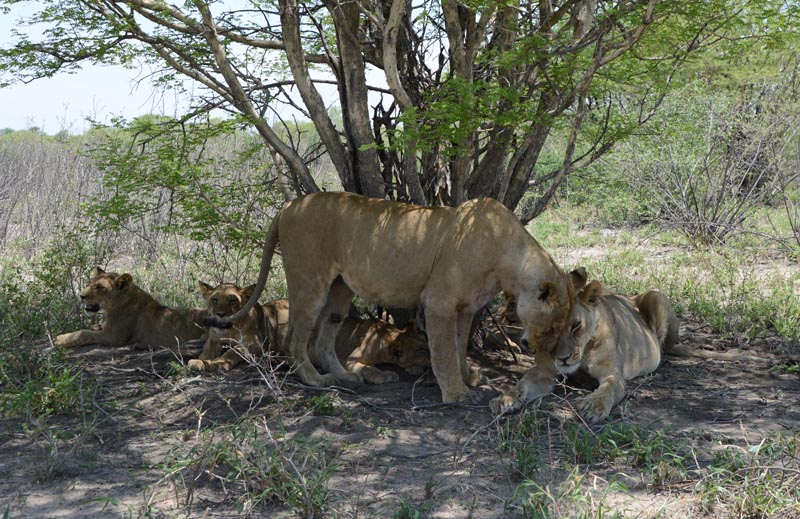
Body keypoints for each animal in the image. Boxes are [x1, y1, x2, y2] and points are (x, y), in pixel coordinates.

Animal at [54, 267, 207, 350]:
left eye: (99, 287)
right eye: (90, 283)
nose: (81, 296)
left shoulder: (114, 337)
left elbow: (83, 333)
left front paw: (61, 339)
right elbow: (93, 328)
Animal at [189, 284, 430, 382]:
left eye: (425, 343)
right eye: (420, 349)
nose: (219, 314)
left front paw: (415, 369)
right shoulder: (350, 359)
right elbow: (368, 368)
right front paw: (384, 375)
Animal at [490, 276, 678, 422]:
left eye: (576, 325)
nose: (563, 358)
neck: (584, 352)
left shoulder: (612, 372)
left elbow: (608, 388)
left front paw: (593, 406)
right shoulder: (544, 371)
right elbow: (523, 381)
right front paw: (506, 398)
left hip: (656, 296)